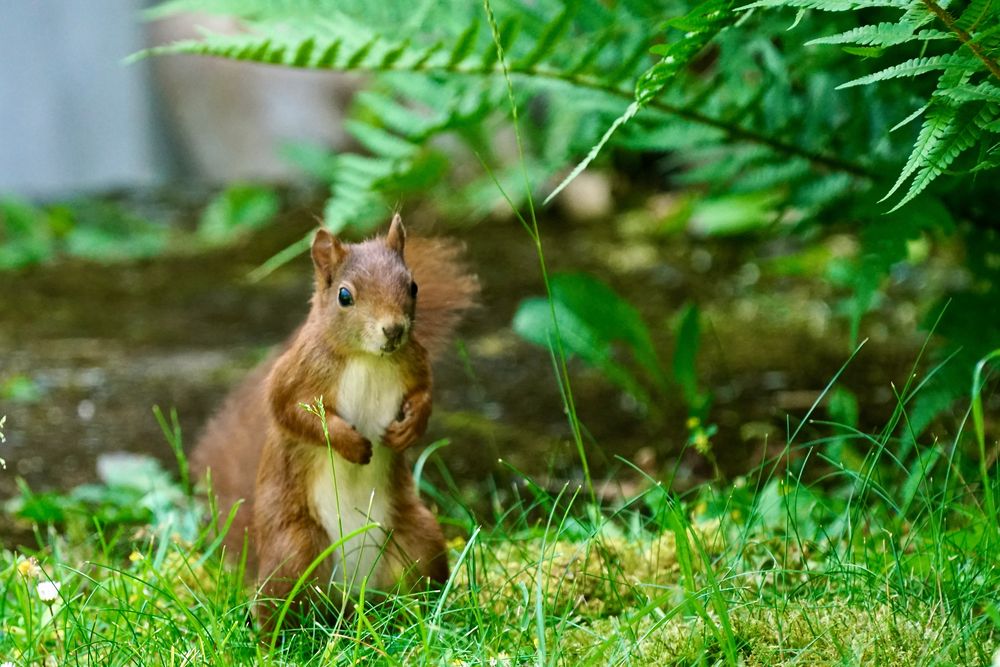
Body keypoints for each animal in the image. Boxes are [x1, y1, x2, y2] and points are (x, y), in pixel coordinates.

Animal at [194, 217, 480, 628]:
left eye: (413, 286)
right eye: (345, 296)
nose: (393, 330)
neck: (367, 358)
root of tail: (349, 598)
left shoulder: (415, 362)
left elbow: (425, 395)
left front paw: (409, 428)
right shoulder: (294, 374)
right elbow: (291, 413)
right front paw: (350, 443)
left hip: (420, 537)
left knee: (420, 584)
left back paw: (428, 619)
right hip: (295, 551)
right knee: (276, 607)